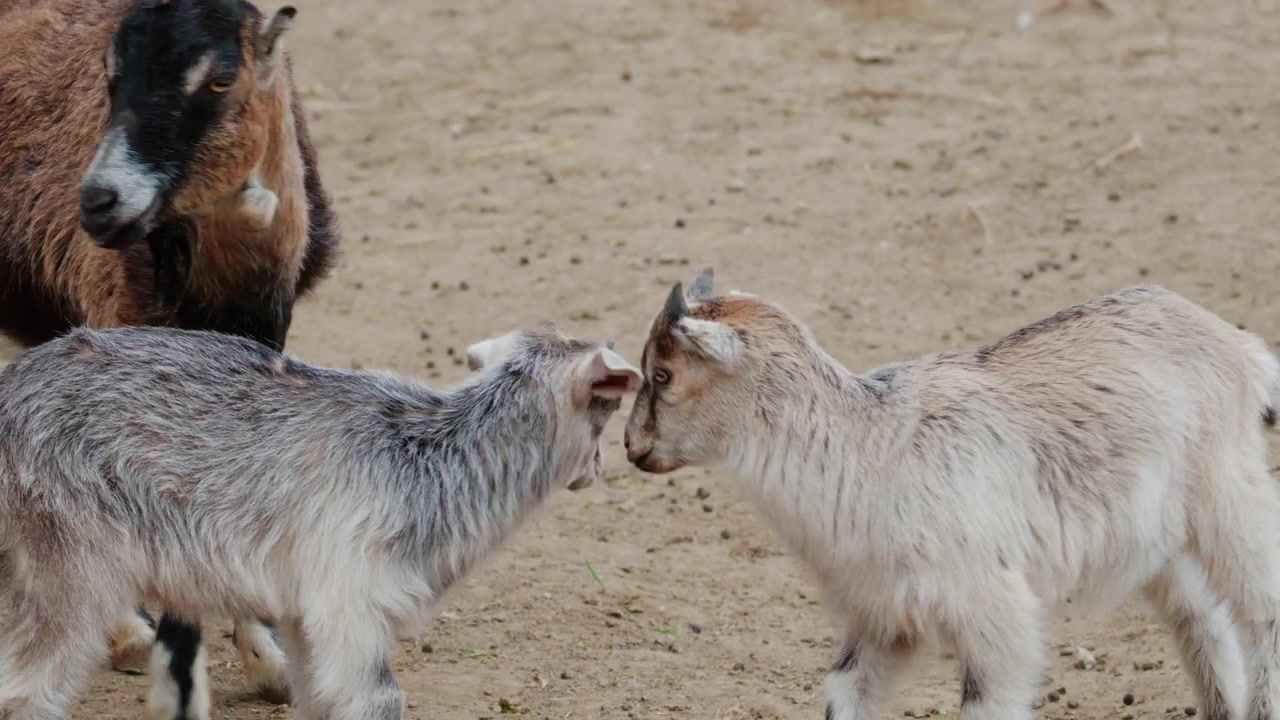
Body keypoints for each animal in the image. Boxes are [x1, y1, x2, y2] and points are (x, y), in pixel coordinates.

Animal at [0, 322, 641, 720]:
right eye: (610, 404)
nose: (603, 468)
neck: (429, 454)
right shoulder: (351, 604)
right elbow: (379, 699)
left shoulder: (305, 617)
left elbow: (315, 700)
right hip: (69, 571)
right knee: (25, 692)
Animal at [624, 268, 1280, 720]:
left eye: (663, 374)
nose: (632, 447)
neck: (869, 448)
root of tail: (1237, 345)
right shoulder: (881, 615)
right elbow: (843, 692)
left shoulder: (994, 611)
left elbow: (986, 701)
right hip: (1163, 539)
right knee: (1203, 619)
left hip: (1229, 492)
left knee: (1262, 605)